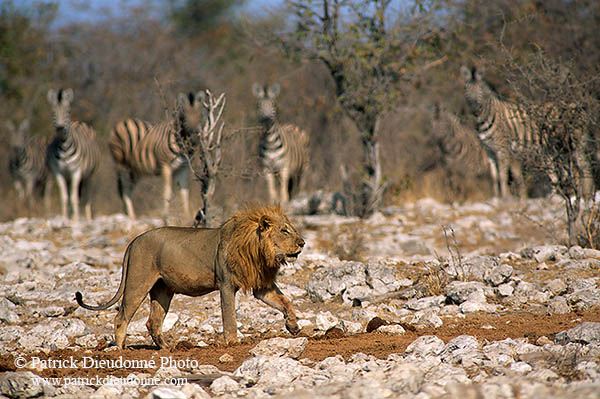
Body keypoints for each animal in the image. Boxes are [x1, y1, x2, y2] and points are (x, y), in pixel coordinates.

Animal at [47, 88, 100, 223]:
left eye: (68, 111)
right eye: (53, 112)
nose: (60, 128)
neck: (64, 147)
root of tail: (79, 122)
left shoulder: (76, 172)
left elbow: (74, 197)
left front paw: (75, 219)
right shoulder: (58, 173)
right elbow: (64, 197)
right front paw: (65, 218)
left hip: (90, 176)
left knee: (86, 198)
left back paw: (87, 218)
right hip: (68, 177)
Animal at [76, 206, 304, 350]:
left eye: (292, 229)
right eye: (284, 231)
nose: (303, 243)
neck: (258, 250)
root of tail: (134, 240)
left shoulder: (262, 286)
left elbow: (285, 302)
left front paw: (293, 326)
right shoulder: (226, 284)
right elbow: (229, 317)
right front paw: (232, 343)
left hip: (162, 290)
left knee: (153, 322)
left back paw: (168, 348)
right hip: (137, 283)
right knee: (121, 317)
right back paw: (121, 351)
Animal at [109, 92, 206, 220]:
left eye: (200, 116)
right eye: (184, 118)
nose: (195, 137)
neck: (182, 143)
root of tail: (123, 122)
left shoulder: (183, 168)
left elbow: (184, 192)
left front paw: (187, 217)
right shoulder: (166, 166)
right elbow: (167, 192)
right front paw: (165, 217)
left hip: (135, 170)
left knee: (128, 188)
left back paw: (128, 215)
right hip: (122, 165)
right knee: (124, 188)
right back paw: (131, 217)